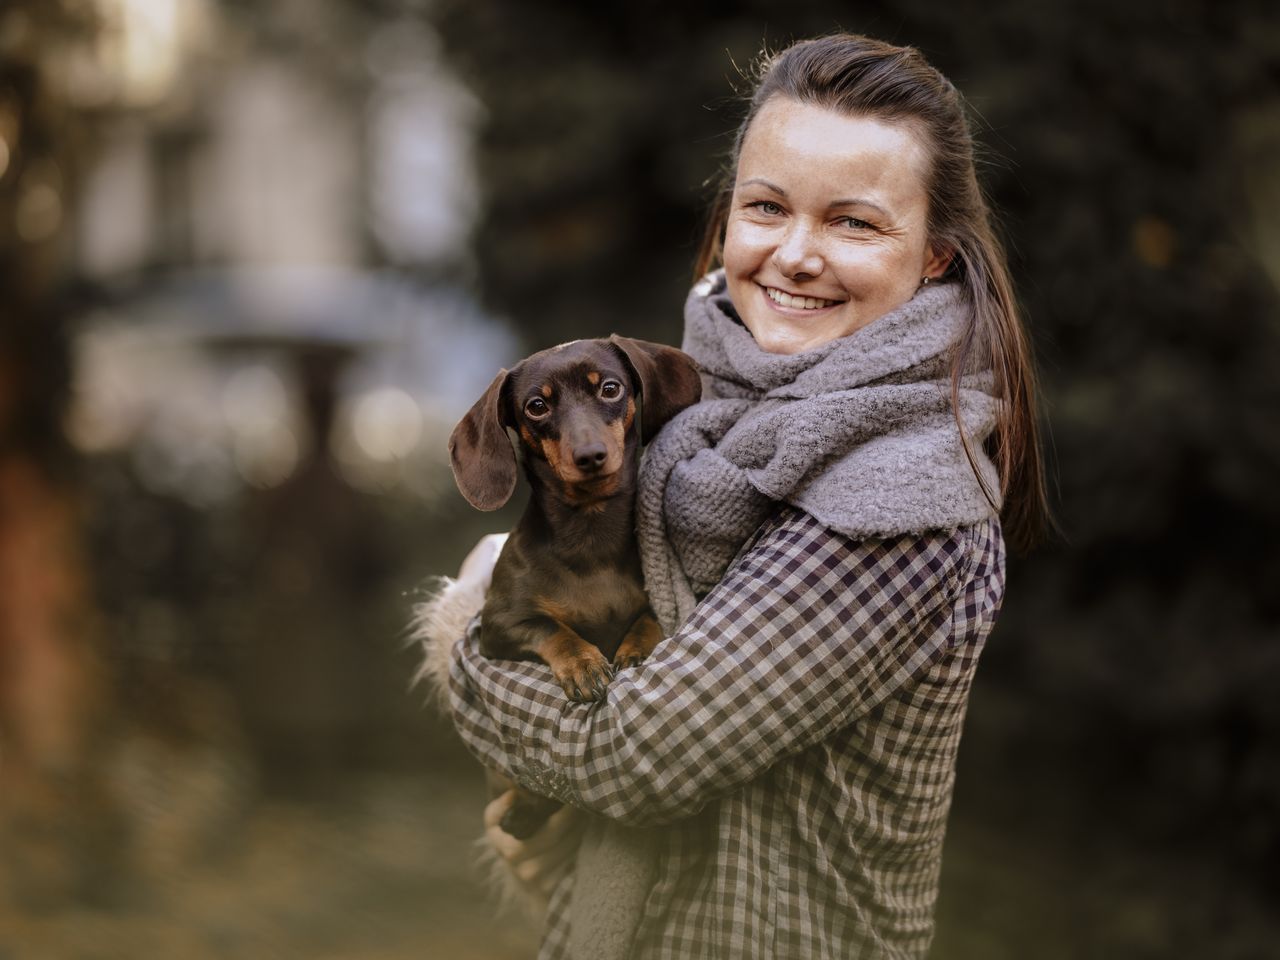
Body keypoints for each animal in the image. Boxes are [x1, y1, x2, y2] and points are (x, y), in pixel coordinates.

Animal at [450, 337, 706, 839]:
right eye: (536, 406)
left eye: (610, 388)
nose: (589, 455)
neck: (591, 536)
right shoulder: (498, 627)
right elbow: (552, 629)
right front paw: (584, 664)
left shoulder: (651, 598)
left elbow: (648, 616)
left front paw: (635, 648)